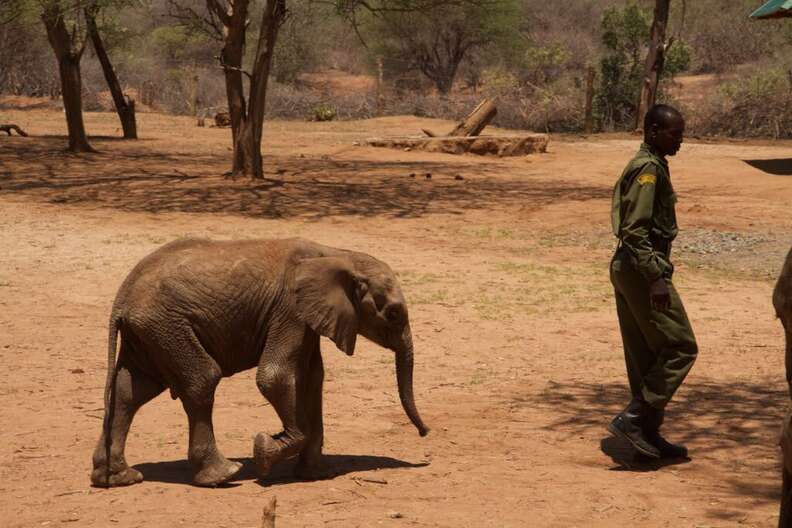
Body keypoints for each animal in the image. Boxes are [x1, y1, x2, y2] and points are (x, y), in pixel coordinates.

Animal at [93, 238, 430, 486]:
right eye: (394, 313)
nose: (424, 433)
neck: (338, 254)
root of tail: (121, 299)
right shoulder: (289, 309)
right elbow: (276, 377)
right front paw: (264, 451)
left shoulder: (306, 317)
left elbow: (312, 378)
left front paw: (317, 475)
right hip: (166, 327)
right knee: (202, 379)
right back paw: (224, 475)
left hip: (150, 334)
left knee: (129, 391)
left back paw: (117, 478)